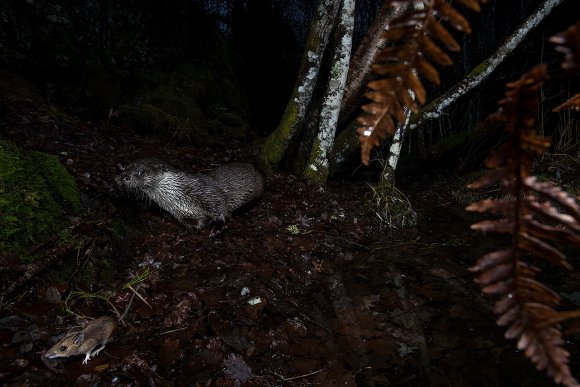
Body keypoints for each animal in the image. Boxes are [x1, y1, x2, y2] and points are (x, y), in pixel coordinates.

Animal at [115, 159, 262, 232]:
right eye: (127, 167)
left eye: (142, 172)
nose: (124, 176)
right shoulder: (181, 213)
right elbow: (195, 223)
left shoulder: (208, 194)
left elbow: (221, 208)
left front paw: (218, 227)